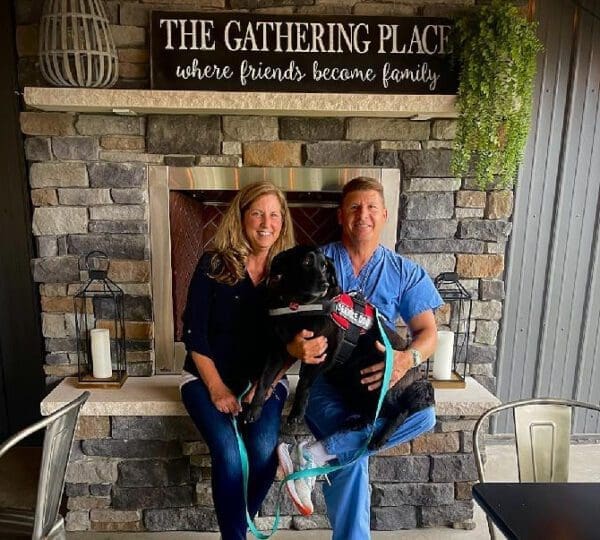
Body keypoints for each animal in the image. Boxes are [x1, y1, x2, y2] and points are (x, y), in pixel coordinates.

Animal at [246, 247, 434, 450]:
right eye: (306, 261)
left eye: (324, 266)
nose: (325, 283)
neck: (301, 306)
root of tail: (416, 373)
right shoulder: (279, 351)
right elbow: (264, 380)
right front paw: (254, 409)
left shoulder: (324, 354)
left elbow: (304, 384)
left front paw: (296, 414)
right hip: (354, 384)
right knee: (375, 412)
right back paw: (358, 422)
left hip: (379, 383)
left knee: (400, 410)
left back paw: (380, 438)